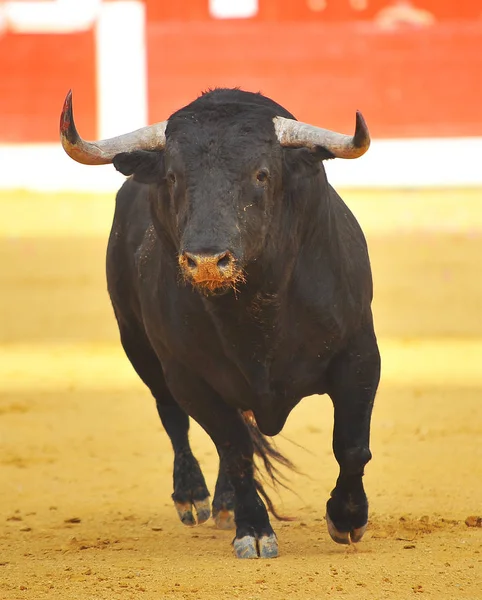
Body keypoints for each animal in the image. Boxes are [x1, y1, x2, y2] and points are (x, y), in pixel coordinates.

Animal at [59, 88, 380, 556]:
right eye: (172, 176)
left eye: (262, 174)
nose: (208, 259)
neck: (256, 310)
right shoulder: (190, 378)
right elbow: (234, 447)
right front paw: (254, 531)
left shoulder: (359, 355)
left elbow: (352, 445)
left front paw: (347, 519)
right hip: (138, 346)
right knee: (173, 416)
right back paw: (193, 497)